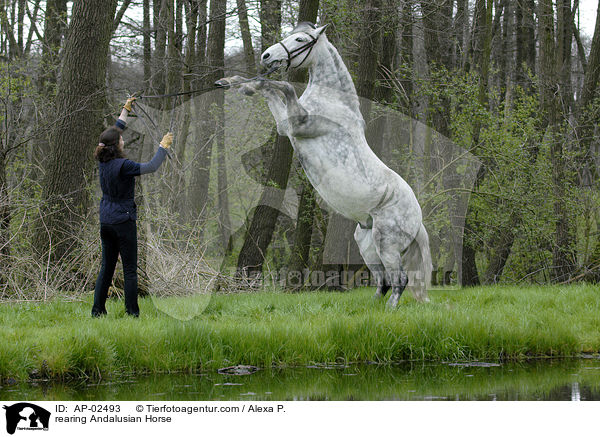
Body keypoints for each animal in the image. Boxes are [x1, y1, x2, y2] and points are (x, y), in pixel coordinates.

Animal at [216, 22, 432, 304]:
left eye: (299, 39)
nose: (266, 56)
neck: (333, 102)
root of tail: (417, 220)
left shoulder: (298, 124)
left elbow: (284, 86)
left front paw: (247, 83)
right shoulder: (285, 126)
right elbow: (270, 88)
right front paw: (235, 83)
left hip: (387, 242)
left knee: (399, 280)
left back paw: (389, 310)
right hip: (367, 242)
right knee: (383, 281)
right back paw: (373, 307)